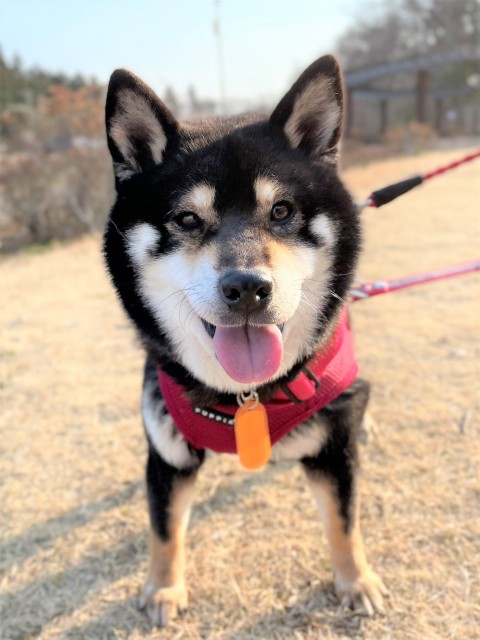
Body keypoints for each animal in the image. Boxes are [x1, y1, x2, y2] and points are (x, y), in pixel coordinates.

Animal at [103, 55, 386, 627]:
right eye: (187, 219)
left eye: (281, 211)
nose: (248, 288)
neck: (243, 398)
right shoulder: (168, 454)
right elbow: (163, 529)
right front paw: (163, 588)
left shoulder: (334, 452)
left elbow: (344, 522)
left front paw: (356, 581)